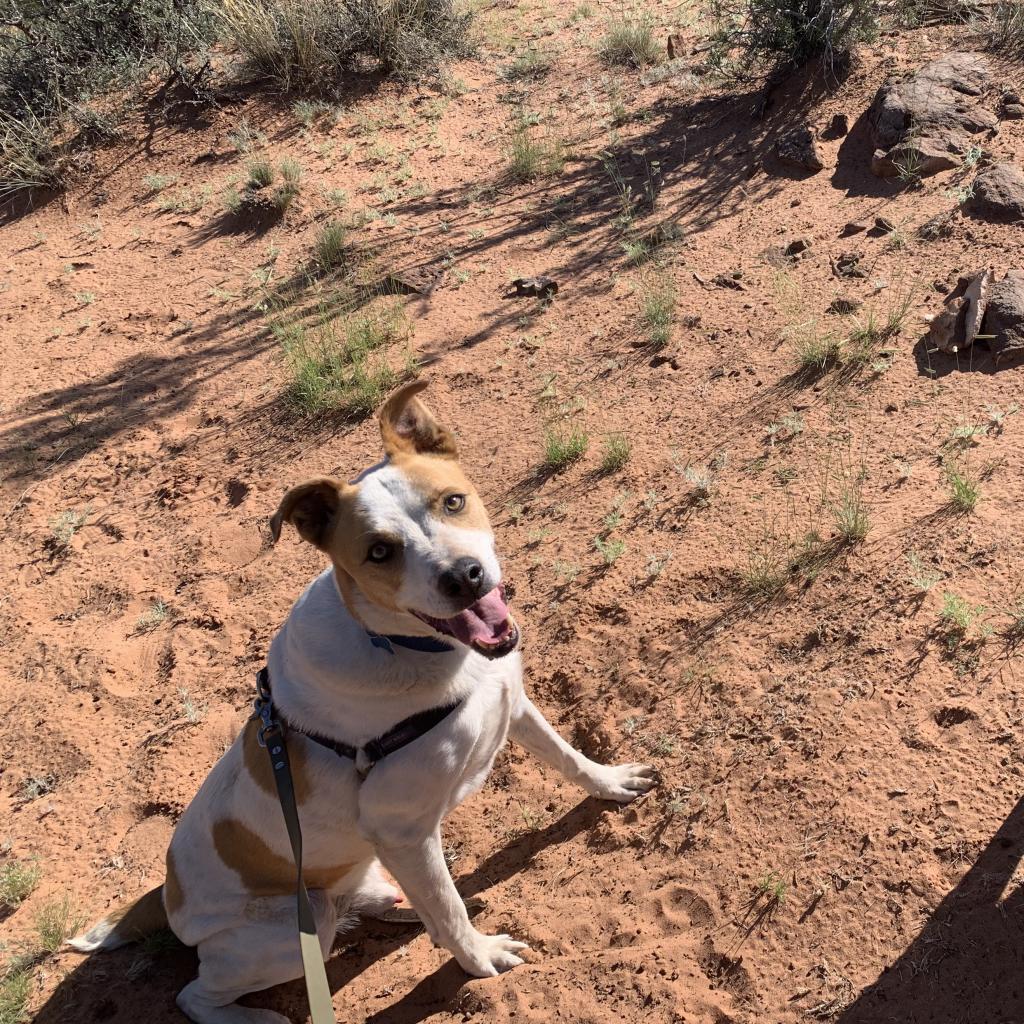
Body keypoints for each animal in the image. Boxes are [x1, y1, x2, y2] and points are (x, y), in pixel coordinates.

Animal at [75, 382, 659, 1024]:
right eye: (380, 552)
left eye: (452, 502)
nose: (465, 576)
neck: (416, 650)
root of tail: (168, 896)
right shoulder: (402, 828)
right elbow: (451, 913)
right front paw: (480, 959)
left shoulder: (513, 703)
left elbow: (569, 759)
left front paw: (612, 783)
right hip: (293, 928)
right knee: (196, 994)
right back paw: (259, 1015)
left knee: (379, 895)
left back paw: (394, 903)